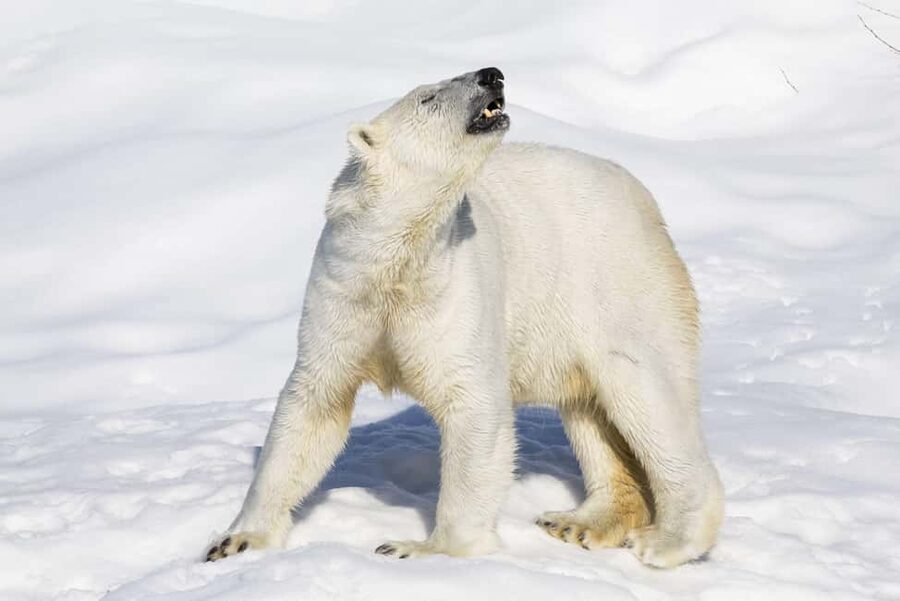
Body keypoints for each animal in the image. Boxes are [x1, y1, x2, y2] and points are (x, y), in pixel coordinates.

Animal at [205, 67, 724, 568]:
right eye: (428, 97)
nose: (491, 74)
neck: (398, 264)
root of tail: (644, 199)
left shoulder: (456, 290)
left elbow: (473, 405)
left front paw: (418, 549)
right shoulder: (343, 294)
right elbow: (313, 404)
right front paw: (235, 542)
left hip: (619, 288)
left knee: (645, 394)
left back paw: (667, 541)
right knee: (590, 411)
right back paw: (580, 523)